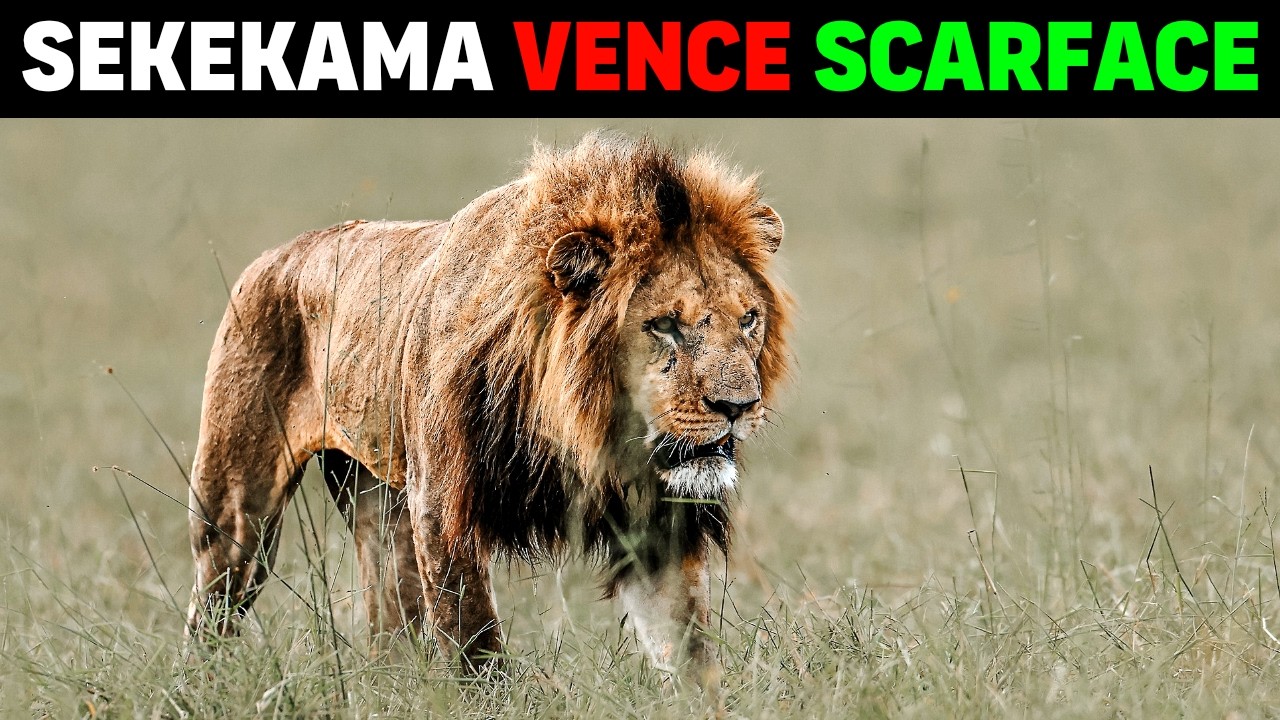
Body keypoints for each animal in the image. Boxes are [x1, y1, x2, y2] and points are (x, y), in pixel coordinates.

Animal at [185, 132, 792, 686]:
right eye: (665, 325)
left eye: (748, 319)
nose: (739, 406)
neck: (577, 425)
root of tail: (278, 254)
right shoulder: (440, 505)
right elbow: (475, 644)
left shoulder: (656, 523)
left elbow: (688, 650)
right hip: (239, 515)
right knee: (211, 611)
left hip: (378, 501)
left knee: (387, 620)